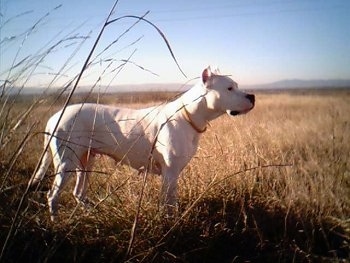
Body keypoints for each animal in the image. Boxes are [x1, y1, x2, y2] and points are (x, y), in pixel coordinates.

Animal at [29, 67, 254, 222]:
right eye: (230, 88)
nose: (251, 95)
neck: (187, 115)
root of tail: (55, 117)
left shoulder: (172, 174)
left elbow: (169, 200)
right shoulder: (170, 173)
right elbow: (169, 202)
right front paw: (170, 222)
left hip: (85, 162)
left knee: (78, 192)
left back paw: (91, 211)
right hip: (66, 164)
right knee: (52, 195)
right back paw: (56, 222)